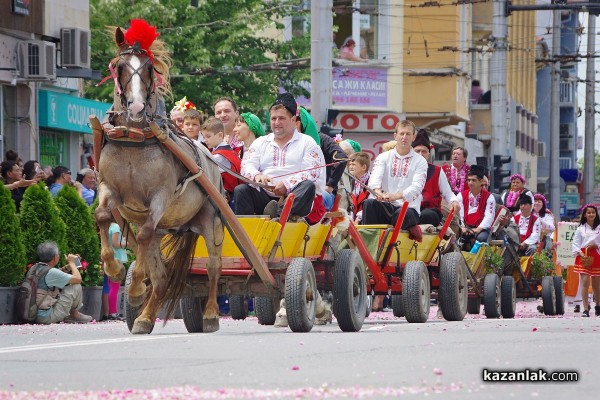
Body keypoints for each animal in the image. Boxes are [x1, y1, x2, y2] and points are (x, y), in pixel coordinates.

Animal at [92, 25, 224, 334]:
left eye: (150, 68)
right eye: (119, 67)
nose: (137, 107)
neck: (134, 141)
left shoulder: (160, 197)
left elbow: (141, 235)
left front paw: (136, 286)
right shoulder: (109, 188)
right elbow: (103, 216)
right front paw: (115, 270)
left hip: (210, 219)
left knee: (213, 267)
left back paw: (211, 313)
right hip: (166, 227)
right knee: (162, 276)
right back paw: (144, 317)